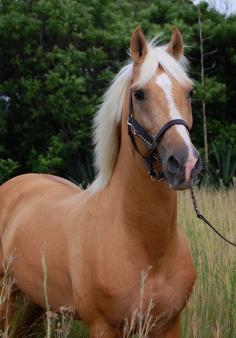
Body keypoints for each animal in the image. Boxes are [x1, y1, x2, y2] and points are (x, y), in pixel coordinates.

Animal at [0, 27, 201, 336]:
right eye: (139, 94)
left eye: (189, 92)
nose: (185, 163)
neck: (147, 249)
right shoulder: (102, 326)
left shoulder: (168, 325)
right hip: (6, 296)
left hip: (35, 303)